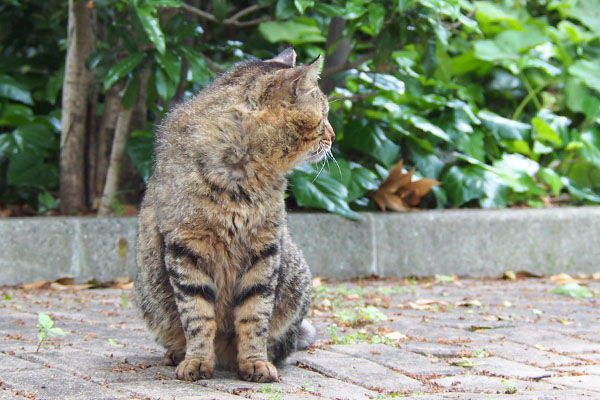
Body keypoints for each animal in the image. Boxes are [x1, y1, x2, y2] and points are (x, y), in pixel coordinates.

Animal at [134, 48, 336, 382]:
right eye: (323, 116)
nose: (333, 136)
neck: (244, 177)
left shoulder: (264, 249)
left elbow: (255, 314)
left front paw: (255, 362)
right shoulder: (184, 246)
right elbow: (197, 316)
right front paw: (197, 361)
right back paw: (178, 354)